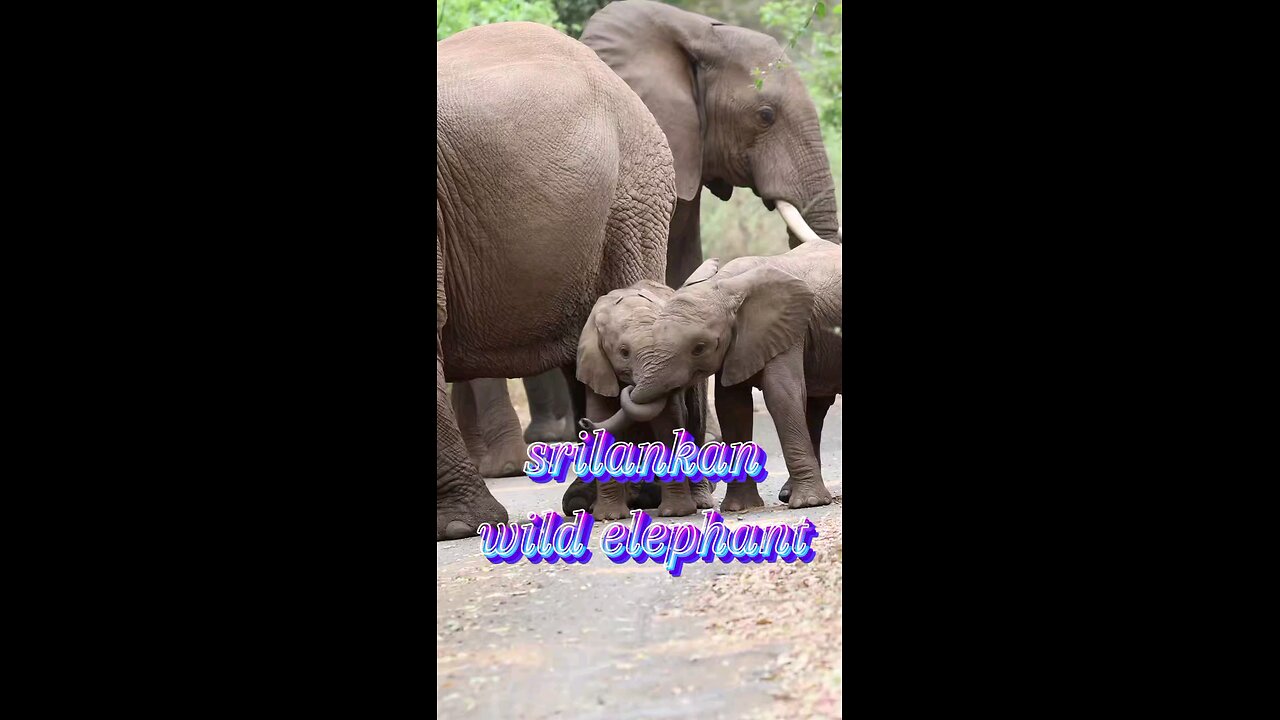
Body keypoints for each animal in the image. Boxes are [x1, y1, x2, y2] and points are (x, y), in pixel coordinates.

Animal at [561, 280, 716, 520]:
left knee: (696, 422)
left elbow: (669, 424)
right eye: (624, 352)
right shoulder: (597, 366)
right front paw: (609, 517)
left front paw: (674, 513)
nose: (582, 422)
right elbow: (602, 418)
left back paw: (701, 502)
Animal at [588, 239, 843, 512]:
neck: (725, 284)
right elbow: (732, 406)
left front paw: (809, 503)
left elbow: (781, 394)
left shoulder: (789, 329)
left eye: (699, 348)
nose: (584, 423)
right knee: (816, 407)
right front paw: (738, 508)